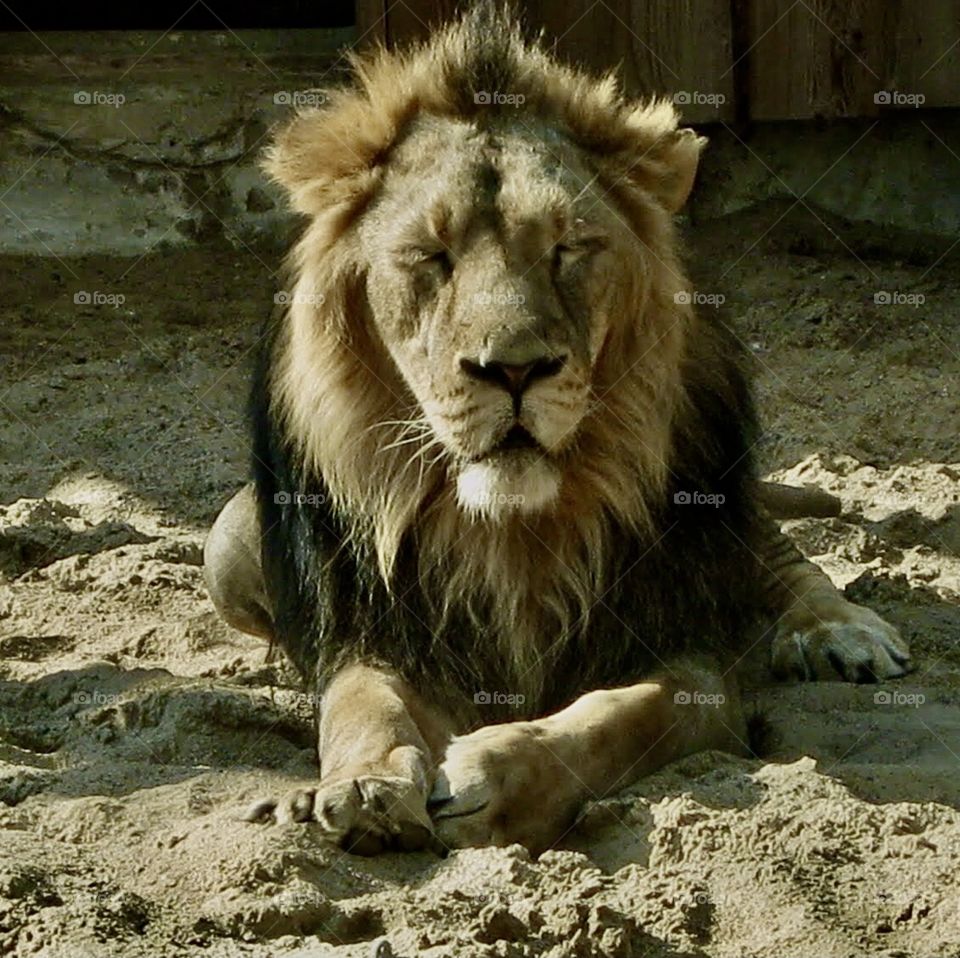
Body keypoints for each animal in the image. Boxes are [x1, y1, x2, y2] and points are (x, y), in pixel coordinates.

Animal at [203, 4, 910, 855]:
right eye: (430, 256)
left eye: (567, 248)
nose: (512, 369)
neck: (513, 533)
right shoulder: (376, 630)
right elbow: (362, 704)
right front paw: (363, 786)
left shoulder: (684, 649)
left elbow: (621, 715)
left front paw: (493, 778)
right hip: (227, 551)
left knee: (781, 557)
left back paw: (840, 632)